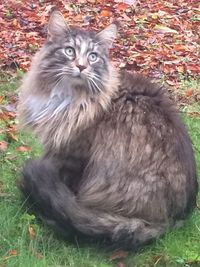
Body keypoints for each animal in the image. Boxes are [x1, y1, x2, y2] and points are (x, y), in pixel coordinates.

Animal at [17, 9, 198, 249]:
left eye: (93, 56)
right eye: (69, 51)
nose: (81, 67)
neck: (70, 98)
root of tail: (173, 220)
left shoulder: (71, 154)